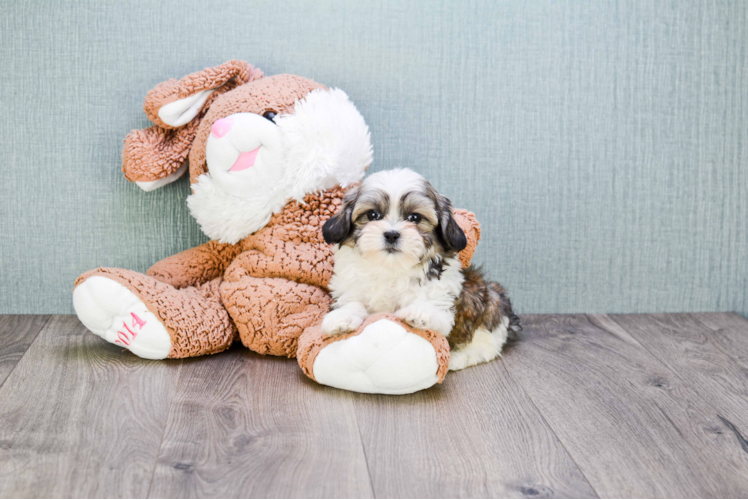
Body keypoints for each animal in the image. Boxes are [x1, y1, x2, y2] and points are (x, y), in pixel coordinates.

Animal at [322, 169, 520, 372]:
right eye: (373, 215)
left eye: (414, 218)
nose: (391, 234)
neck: (390, 268)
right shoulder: (349, 287)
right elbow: (351, 302)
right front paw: (341, 317)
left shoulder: (442, 298)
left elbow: (435, 311)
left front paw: (419, 313)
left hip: (491, 305)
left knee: (487, 345)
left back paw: (459, 357)